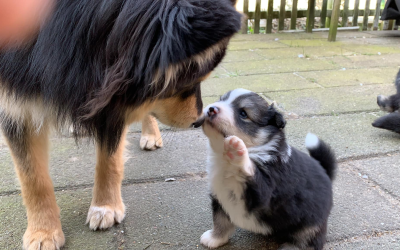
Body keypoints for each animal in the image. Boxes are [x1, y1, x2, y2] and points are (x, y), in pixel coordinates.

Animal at [202, 89, 336, 249]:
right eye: (221, 100)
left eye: (243, 113)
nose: (211, 109)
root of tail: (325, 173)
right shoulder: (219, 195)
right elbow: (220, 220)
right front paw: (214, 238)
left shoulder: (266, 190)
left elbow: (251, 171)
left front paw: (235, 148)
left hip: (312, 222)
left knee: (310, 241)